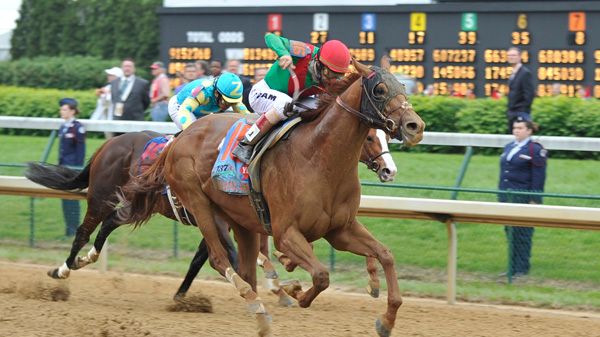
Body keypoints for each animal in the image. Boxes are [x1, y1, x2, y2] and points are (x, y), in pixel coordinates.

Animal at [119, 61, 424, 336]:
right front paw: (297, 291)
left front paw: (387, 318)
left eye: (403, 86)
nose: (415, 126)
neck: (319, 159)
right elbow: (321, 275)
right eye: (380, 90)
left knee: (245, 268)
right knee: (220, 259)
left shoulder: (341, 229)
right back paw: (258, 305)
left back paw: (259, 308)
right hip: (198, 203)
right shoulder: (285, 232)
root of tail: (179, 139)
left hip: (240, 219)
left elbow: (385, 255)